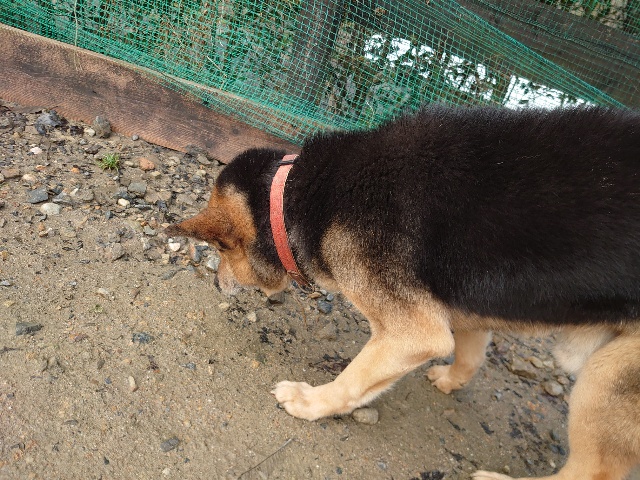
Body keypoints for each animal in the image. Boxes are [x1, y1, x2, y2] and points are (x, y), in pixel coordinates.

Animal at [167, 105, 640, 479]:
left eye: (221, 249)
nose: (215, 282)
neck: (303, 197)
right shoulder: (461, 305)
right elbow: (470, 352)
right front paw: (450, 378)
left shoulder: (411, 332)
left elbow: (354, 381)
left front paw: (312, 401)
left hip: (605, 379)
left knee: (590, 471)